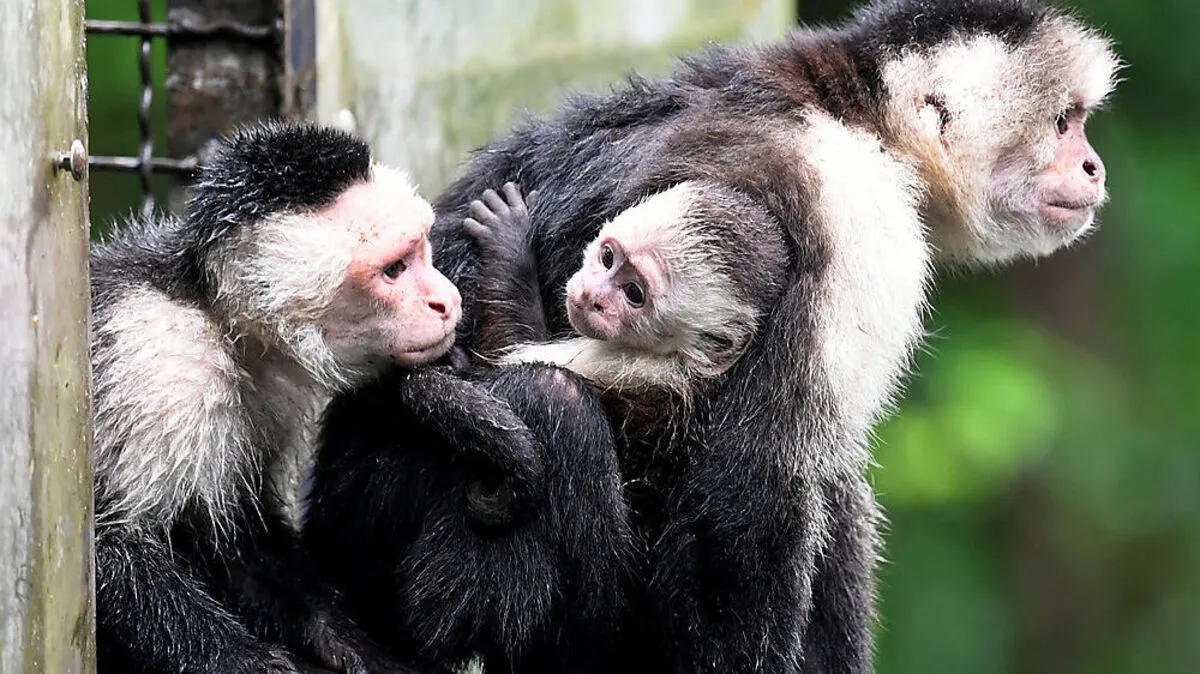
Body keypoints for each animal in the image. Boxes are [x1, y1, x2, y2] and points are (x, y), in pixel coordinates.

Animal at [89, 120, 543, 674]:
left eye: (420, 250)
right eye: (395, 270)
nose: (447, 299)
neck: (219, 320)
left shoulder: (271, 391)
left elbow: (243, 540)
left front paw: (362, 650)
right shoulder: (158, 362)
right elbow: (110, 544)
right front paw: (257, 664)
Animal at [313, 0, 1121, 671]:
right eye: (1064, 122)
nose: (1092, 164)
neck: (849, 114)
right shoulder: (856, 216)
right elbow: (752, 494)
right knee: (551, 405)